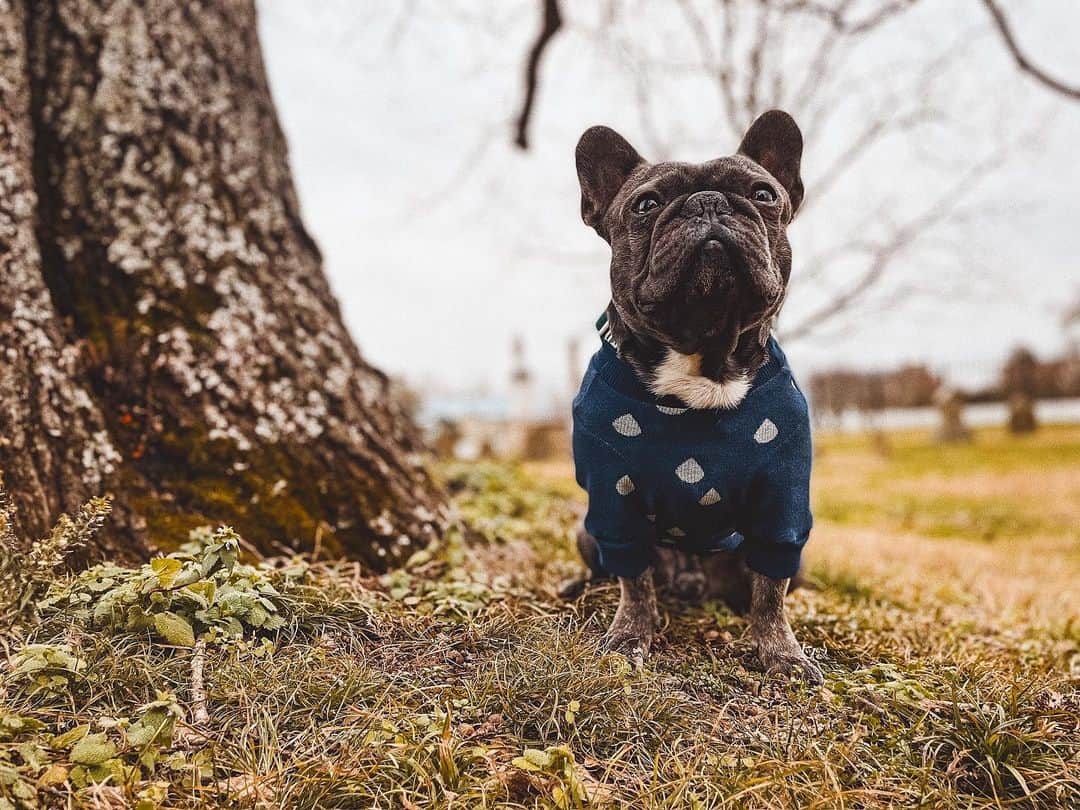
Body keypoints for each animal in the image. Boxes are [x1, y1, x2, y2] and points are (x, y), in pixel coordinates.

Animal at [561, 109, 820, 686]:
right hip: (587, 531)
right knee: (612, 569)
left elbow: (771, 592)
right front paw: (629, 637)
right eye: (646, 204)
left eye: (763, 194)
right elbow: (634, 583)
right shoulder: (613, 502)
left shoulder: (783, 507)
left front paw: (782, 652)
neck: (705, 355)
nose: (708, 202)